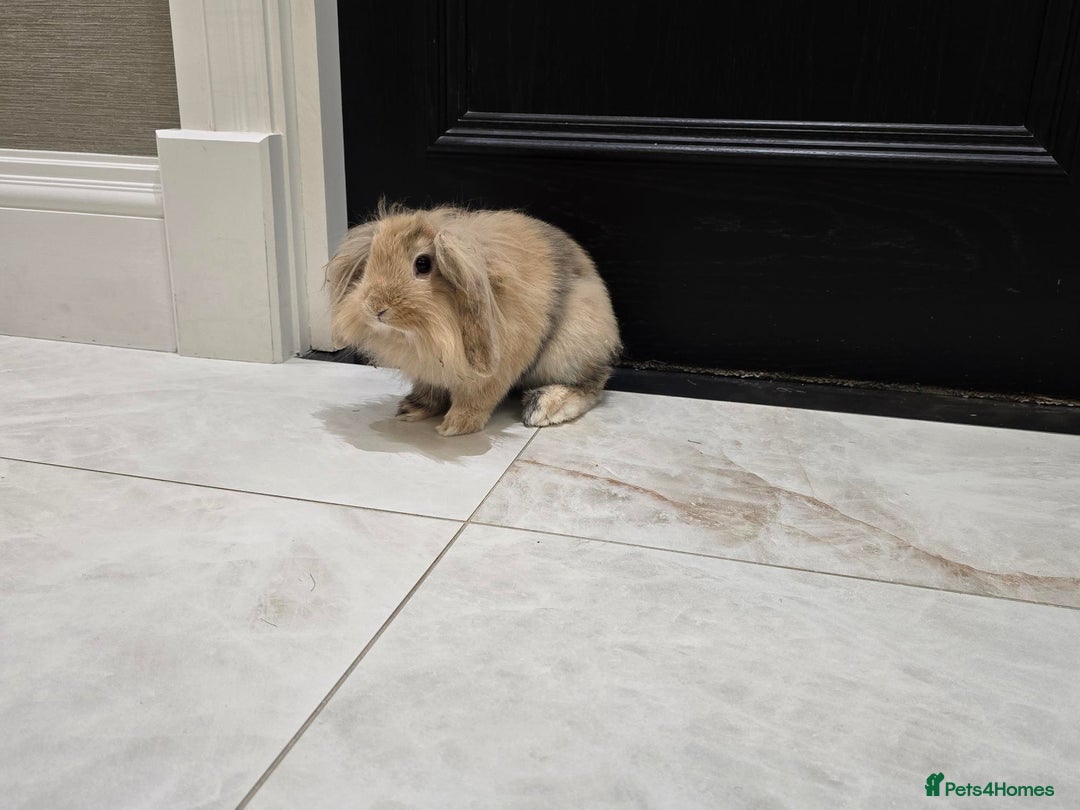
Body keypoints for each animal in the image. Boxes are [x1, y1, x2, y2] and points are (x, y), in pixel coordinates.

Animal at [326, 203, 622, 436]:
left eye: (422, 264)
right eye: (371, 260)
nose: (375, 307)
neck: (426, 335)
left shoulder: (492, 374)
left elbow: (475, 400)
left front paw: (454, 426)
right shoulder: (429, 371)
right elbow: (429, 389)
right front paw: (410, 409)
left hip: (569, 349)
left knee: (592, 385)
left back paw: (544, 407)